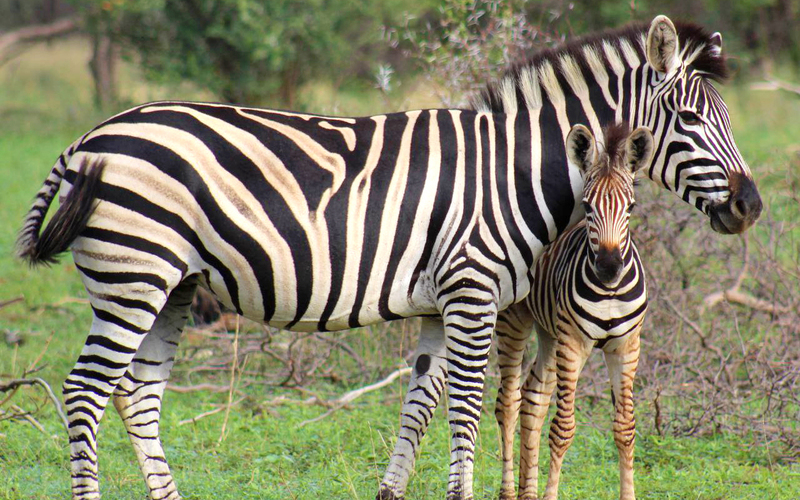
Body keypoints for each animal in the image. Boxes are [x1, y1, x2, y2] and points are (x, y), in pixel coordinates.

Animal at [510, 122, 651, 500]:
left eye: (630, 207)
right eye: (587, 206)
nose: (609, 267)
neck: (610, 292)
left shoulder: (626, 346)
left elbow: (625, 428)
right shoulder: (573, 343)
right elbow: (563, 429)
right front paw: (550, 495)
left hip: (549, 333)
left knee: (532, 399)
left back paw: (526, 491)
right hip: (515, 321)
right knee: (507, 402)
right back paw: (509, 491)